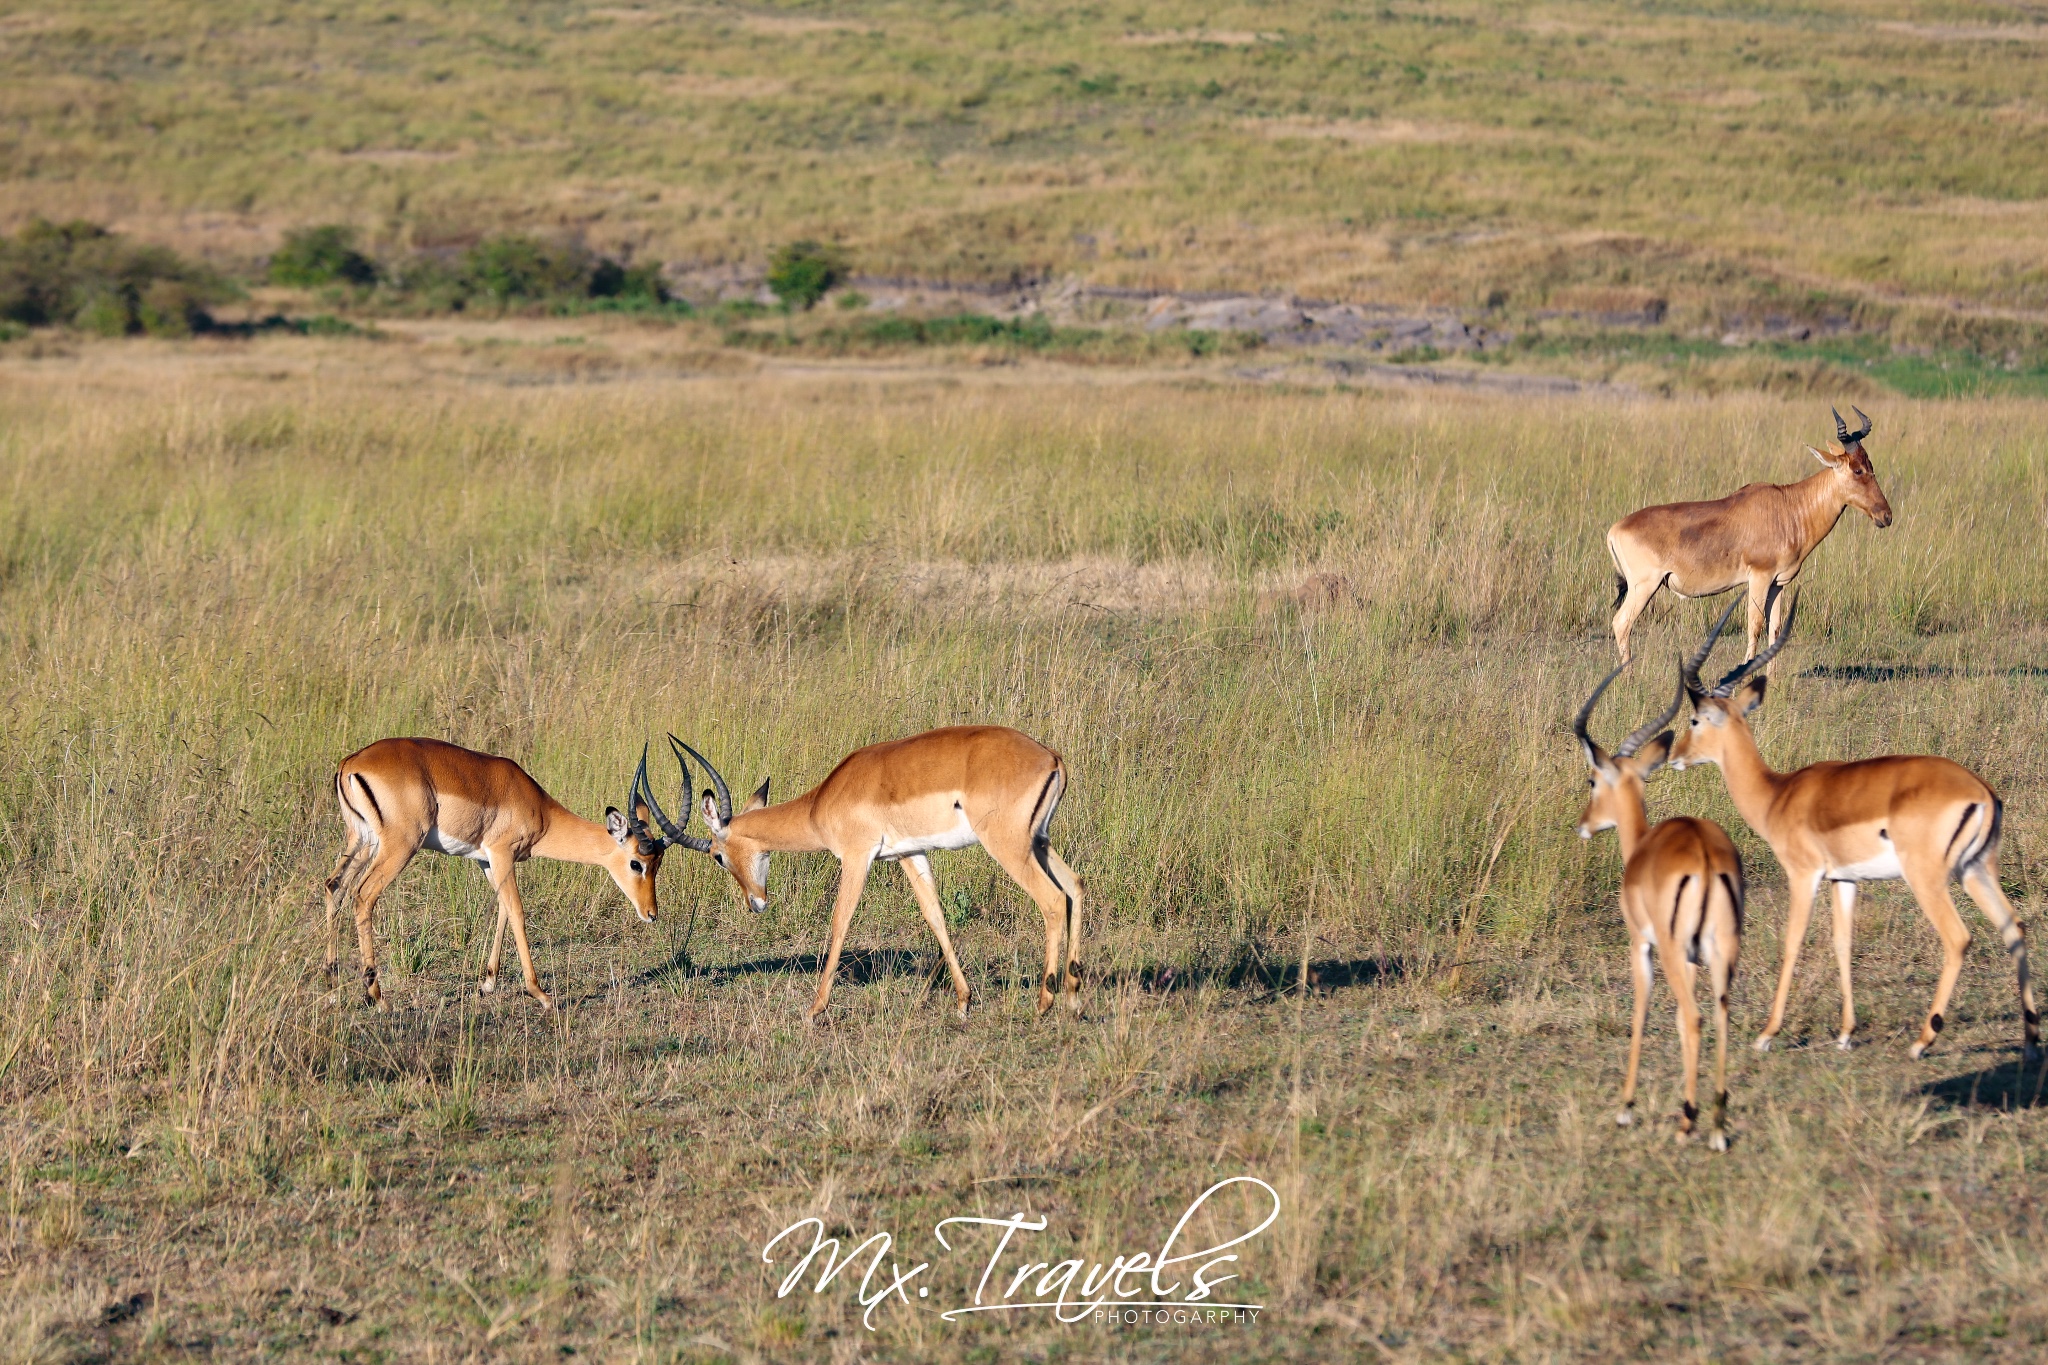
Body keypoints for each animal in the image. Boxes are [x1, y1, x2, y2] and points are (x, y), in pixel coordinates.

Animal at [319, 736, 671, 1015]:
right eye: (637, 863)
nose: (651, 913)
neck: (540, 808)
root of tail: (352, 762)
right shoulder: (502, 853)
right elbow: (516, 910)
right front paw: (541, 994)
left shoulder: (487, 861)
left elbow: (502, 908)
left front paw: (487, 983)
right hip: (400, 845)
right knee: (363, 895)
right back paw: (377, 997)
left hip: (361, 840)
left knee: (334, 886)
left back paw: (332, 990)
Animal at [647, 732, 1081, 1019]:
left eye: (718, 856)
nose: (755, 902)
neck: (820, 803)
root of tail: (1052, 757)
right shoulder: (909, 853)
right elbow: (935, 916)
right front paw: (963, 1000)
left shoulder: (857, 857)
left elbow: (840, 921)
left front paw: (815, 1008)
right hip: (1038, 842)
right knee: (1075, 885)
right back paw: (1074, 998)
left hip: (1008, 845)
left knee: (1052, 899)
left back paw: (1045, 1003)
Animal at [1572, 646, 1736, 1146]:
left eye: (1593, 780)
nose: (1583, 825)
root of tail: (1704, 857)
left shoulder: (1639, 945)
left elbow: (1641, 1013)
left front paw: (1625, 1109)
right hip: (1721, 951)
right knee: (1718, 1016)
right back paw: (1716, 1126)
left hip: (1670, 949)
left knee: (1695, 1017)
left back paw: (1689, 1124)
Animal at [1613, 405, 1884, 667]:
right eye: (1857, 470)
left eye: (1871, 466)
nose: (1886, 515)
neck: (1788, 507)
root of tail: (1616, 528)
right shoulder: (1759, 578)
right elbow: (1755, 626)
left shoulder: (1778, 583)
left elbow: (1775, 630)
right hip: (1644, 586)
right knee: (1621, 622)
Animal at [1671, 589, 2039, 1055]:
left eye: (1695, 719)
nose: (1675, 755)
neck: (1778, 794)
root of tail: (1982, 792)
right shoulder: (1844, 879)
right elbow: (1843, 943)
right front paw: (1846, 1033)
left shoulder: (1803, 875)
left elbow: (1792, 941)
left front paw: (1767, 1033)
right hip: (1976, 870)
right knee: (2015, 927)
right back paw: (2031, 1037)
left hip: (1928, 878)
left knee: (1959, 938)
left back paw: (1923, 1040)